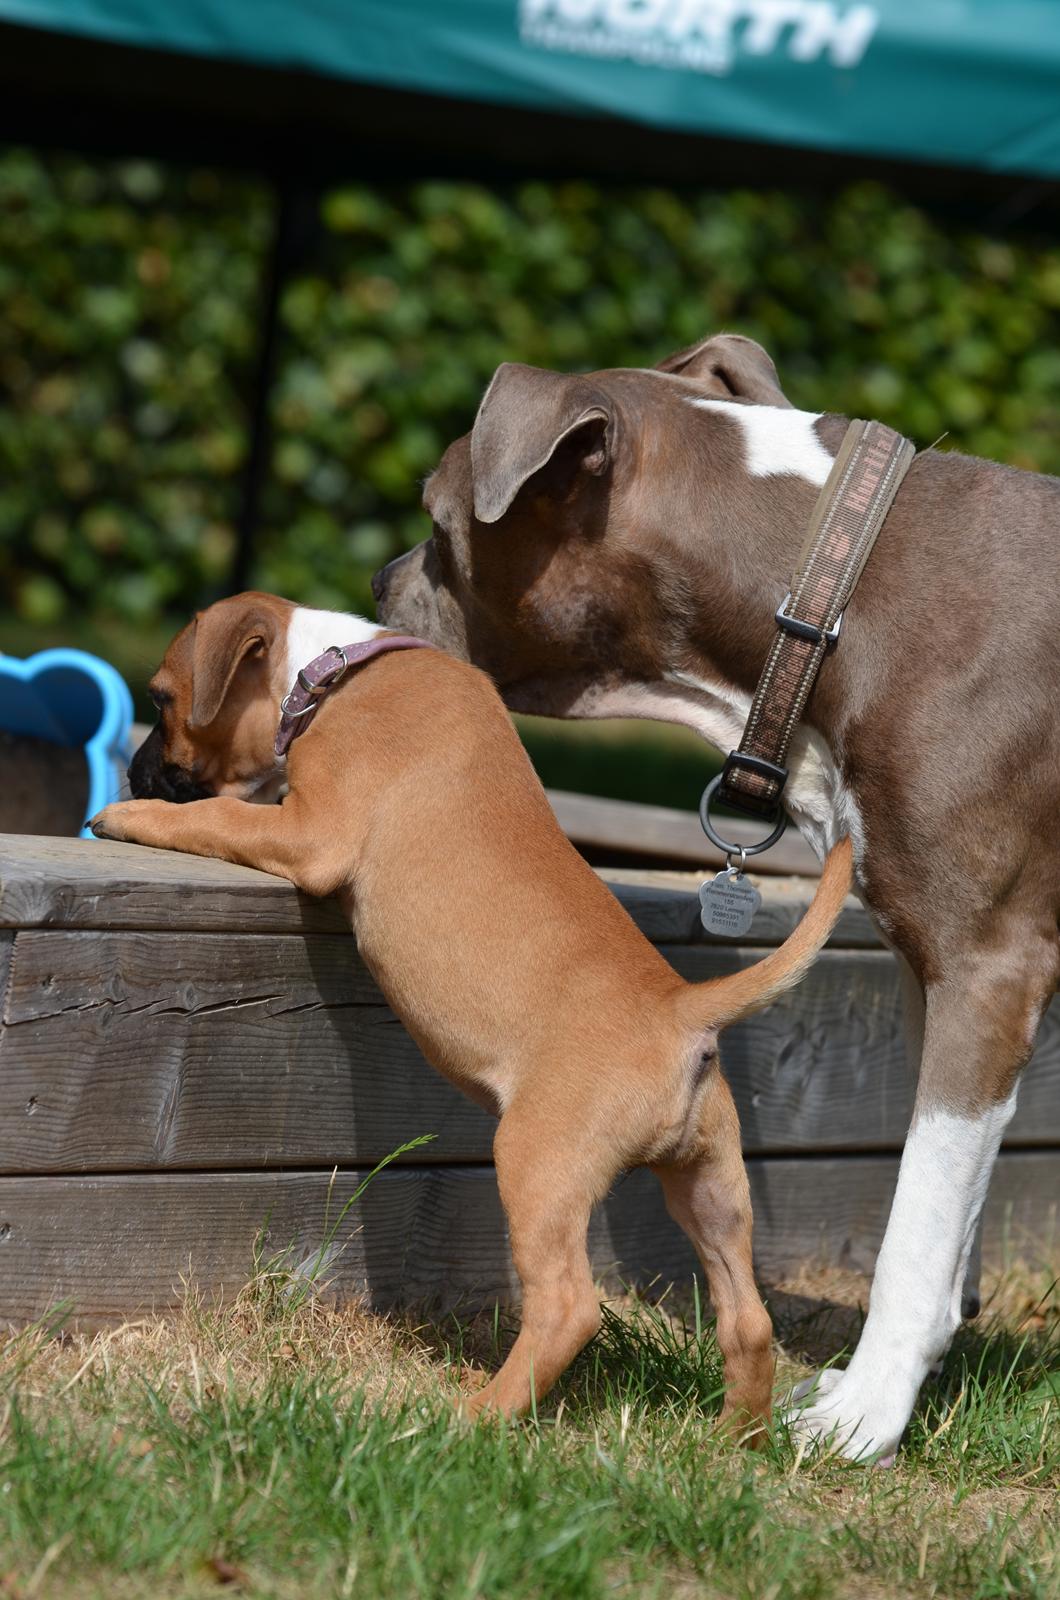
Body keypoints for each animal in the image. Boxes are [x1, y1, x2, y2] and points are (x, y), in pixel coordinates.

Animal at [91, 592, 858, 1440]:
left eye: (161, 699)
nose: (133, 768)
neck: (329, 669)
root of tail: (681, 1010)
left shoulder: (309, 831)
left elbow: (219, 816)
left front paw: (126, 813)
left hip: (538, 1164)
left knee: (568, 1308)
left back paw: (477, 1417)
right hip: (710, 1184)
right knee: (746, 1317)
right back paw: (731, 1438)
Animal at [376, 337, 1060, 1465]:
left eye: (436, 523)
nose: (377, 579)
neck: (830, 592)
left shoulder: (988, 963)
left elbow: (916, 1221)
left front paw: (865, 1414)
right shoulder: (932, 961)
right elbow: (945, 1201)